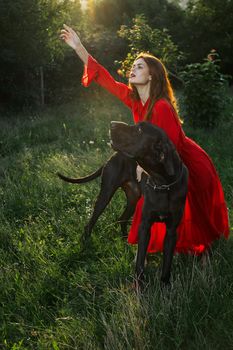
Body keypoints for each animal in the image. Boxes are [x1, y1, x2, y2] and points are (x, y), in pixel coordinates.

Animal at [57, 121, 188, 286]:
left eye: (139, 130)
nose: (112, 124)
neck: (163, 184)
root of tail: (112, 156)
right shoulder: (145, 225)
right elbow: (140, 261)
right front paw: (139, 285)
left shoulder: (171, 231)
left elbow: (167, 263)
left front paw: (164, 284)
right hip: (106, 194)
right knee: (90, 223)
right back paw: (85, 245)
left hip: (133, 199)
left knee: (122, 218)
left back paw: (125, 240)